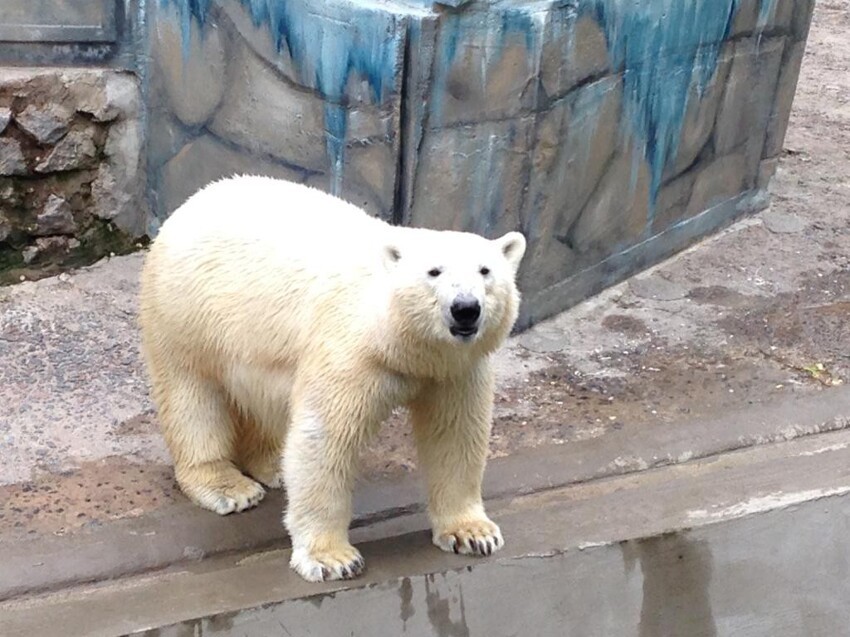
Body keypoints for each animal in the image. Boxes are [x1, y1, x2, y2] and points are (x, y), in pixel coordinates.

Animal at [139, 174, 524, 580]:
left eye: (485, 271)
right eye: (434, 272)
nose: (465, 309)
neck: (396, 342)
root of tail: (192, 202)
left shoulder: (455, 370)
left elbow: (455, 434)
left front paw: (473, 533)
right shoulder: (350, 355)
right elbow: (325, 439)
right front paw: (332, 558)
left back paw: (272, 464)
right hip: (187, 314)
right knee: (191, 396)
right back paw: (228, 486)